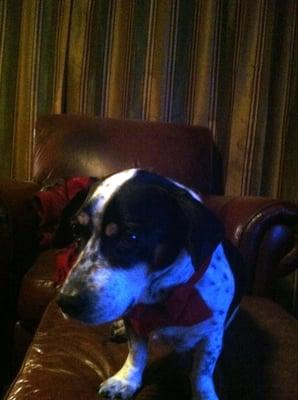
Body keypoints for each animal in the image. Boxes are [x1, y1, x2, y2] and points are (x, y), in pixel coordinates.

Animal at [55, 169, 244, 400]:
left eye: (130, 237)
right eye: (75, 231)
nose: (66, 303)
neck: (164, 298)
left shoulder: (211, 336)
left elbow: (201, 373)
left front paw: (204, 394)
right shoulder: (135, 321)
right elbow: (137, 353)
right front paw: (126, 380)